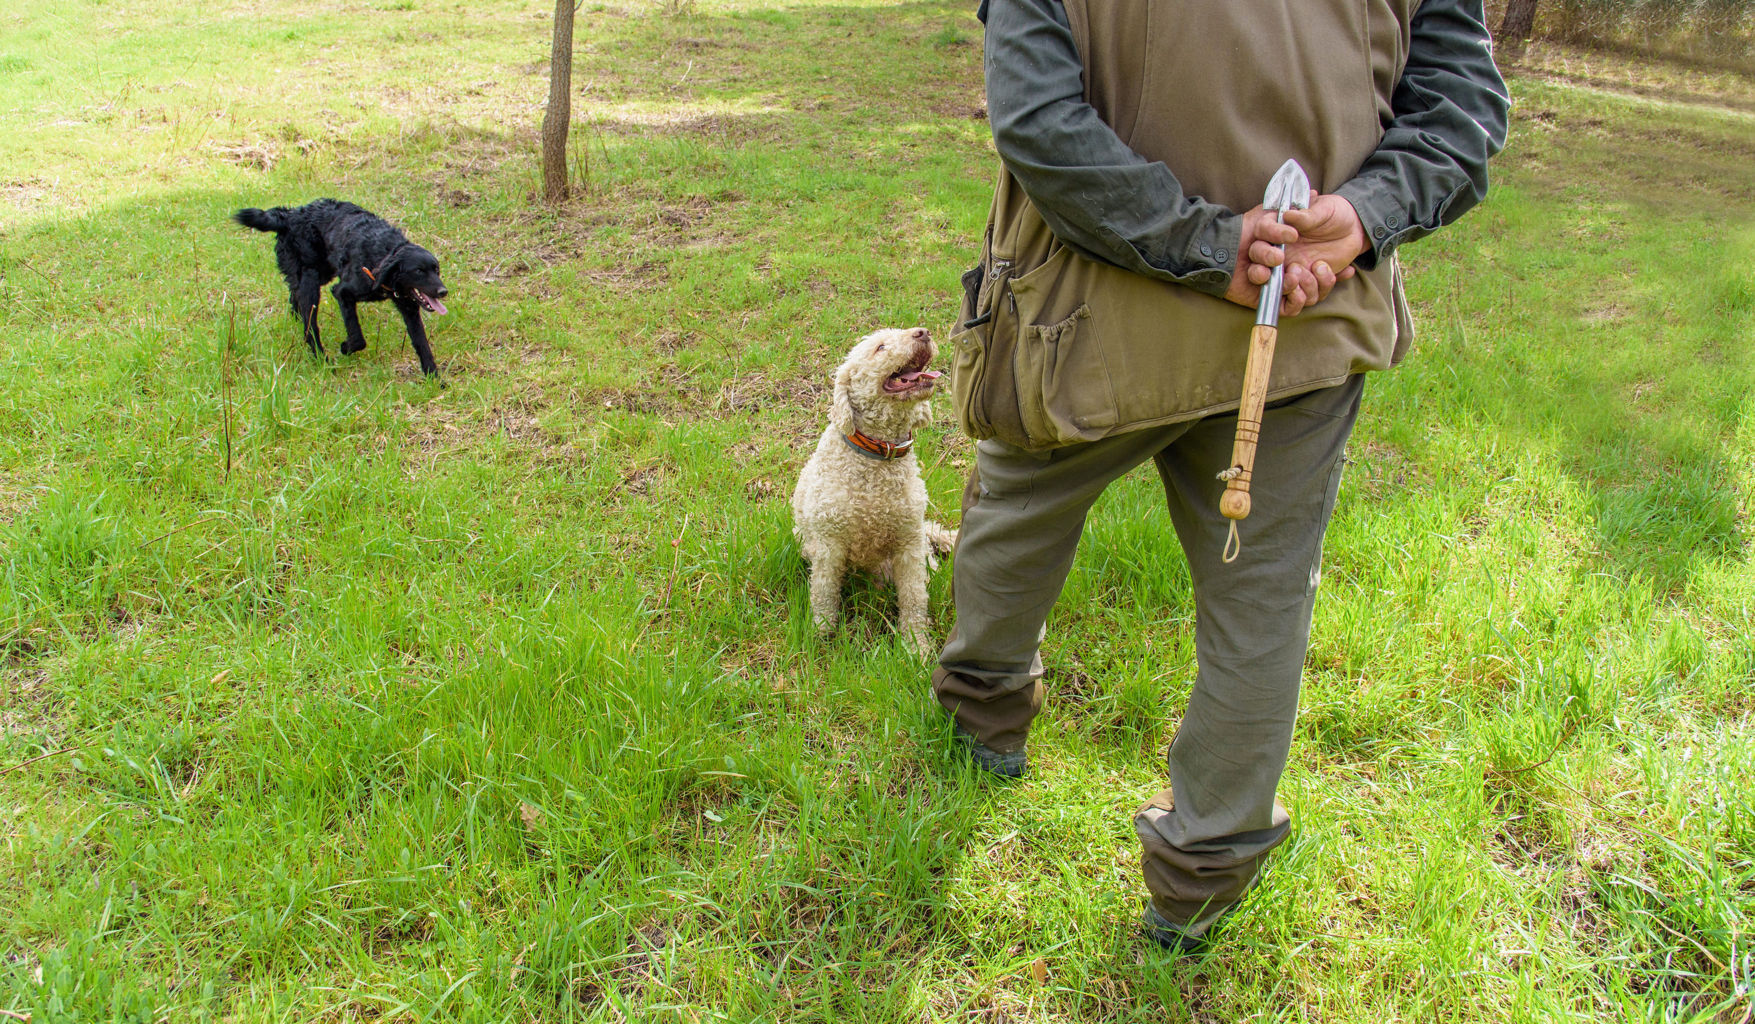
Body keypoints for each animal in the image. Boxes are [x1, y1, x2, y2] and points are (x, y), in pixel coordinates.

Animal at [233, 200, 449, 375]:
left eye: (436, 270)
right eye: (419, 271)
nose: (443, 291)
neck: (381, 255)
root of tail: (290, 215)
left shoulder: (409, 307)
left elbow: (422, 344)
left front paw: (434, 379)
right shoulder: (343, 292)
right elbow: (358, 337)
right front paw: (346, 347)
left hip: (318, 273)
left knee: (295, 294)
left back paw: (295, 318)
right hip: (311, 281)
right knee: (310, 325)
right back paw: (321, 358)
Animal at [796, 326, 961, 656]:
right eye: (880, 347)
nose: (923, 332)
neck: (878, 458)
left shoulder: (909, 542)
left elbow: (914, 597)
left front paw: (916, 646)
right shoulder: (829, 544)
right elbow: (824, 592)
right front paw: (821, 634)